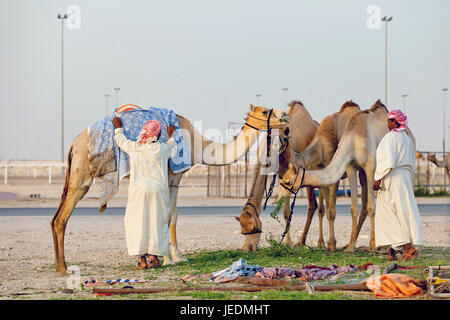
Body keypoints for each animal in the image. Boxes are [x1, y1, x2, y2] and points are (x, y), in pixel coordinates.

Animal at [50, 105, 288, 276]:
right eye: (265, 111)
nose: (285, 117)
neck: (197, 144)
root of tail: (73, 144)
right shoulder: (173, 175)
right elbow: (170, 216)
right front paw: (172, 258)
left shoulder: (173, 179)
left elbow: (171, 216)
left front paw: (167, 257)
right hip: (82, 175)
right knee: (62, 218)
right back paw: (63, 268)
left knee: (55, 218)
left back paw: (60, 264)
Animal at [234, 101, 322, 251]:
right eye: (242, 231)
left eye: (253, 228)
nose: (247, 248)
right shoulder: (282, 177)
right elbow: (286, 211)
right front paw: (287, 242)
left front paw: (289, 243)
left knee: (314, 205)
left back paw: (305, 242)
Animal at [272, 100, 416, 252]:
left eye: (288, 182)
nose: (276, 195)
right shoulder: (346, 167)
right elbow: (346, 208)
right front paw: (345, 246)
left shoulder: (368, 167)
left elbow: (340, 210)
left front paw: (335, 244)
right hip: (361, 173)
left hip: (405, 164)